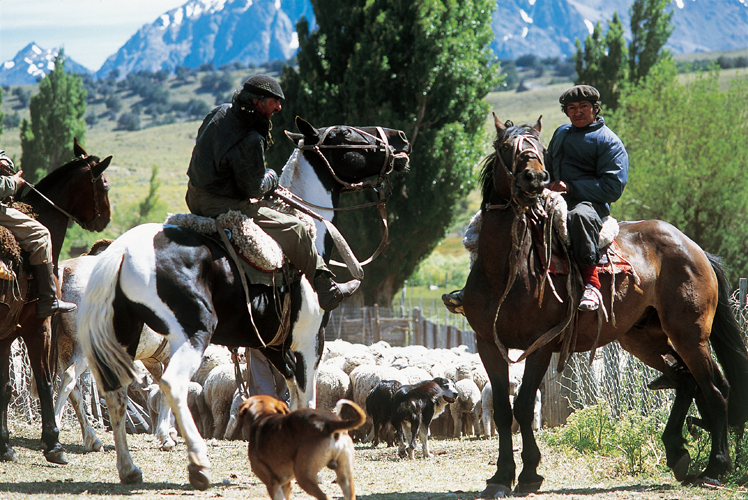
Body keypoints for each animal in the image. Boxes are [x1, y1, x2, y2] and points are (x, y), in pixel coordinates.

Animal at [0, 139, 111, 462]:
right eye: (104, 184)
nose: (105, 219)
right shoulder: (39, 326)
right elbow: (45, 380)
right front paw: (53, 443)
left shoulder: (7, 334)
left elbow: (5, 387)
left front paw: (5, 446)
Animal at [464, 114, 748, 496]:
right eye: (506, 146)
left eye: (539, 148)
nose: (536, 179)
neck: (508, 271)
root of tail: (695, 249)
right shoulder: (488, 345)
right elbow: (502, 410)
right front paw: (500, 477)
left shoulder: (540, 346)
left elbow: (522, 407)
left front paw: (529, 474)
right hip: (643, 338)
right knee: (687, 381)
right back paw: (677, 452)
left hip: (690, 335)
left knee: (715, 391)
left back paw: (715, 468)